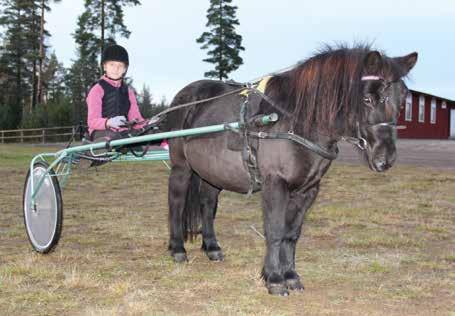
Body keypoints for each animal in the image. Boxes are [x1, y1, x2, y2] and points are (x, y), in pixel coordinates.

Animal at [166, 45, 418, 296]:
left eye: (402, 99)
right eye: (368, 98)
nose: (385, 159)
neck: (294, 123)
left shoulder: (307, 190)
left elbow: (291, 234)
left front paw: (291, 276)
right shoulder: (275, 184)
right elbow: (275, 230)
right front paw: (274, 279)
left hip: (212, 174)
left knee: (207, 205)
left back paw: (212, 247)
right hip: (181, 167)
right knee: (176, 203)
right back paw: (178, 249)